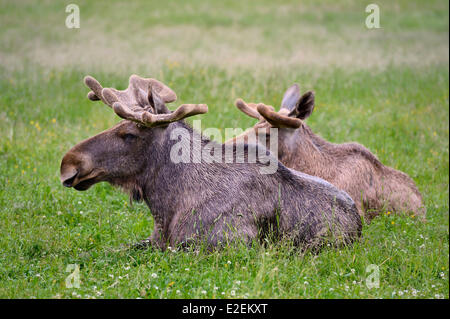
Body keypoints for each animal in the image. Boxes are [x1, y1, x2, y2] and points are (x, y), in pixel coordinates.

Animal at [60, 75, 362, 252]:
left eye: (129, 134)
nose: (68, 163)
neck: (167, 203)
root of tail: (359, 224)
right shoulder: (153, 240)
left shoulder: (227, 245)